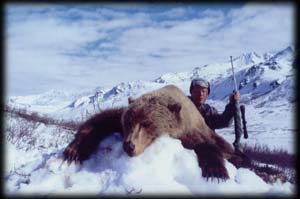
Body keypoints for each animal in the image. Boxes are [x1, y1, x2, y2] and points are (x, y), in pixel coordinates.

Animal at [63, 84, 248, 181]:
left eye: (147, 123)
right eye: (128, 122)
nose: (129, 146)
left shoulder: (188, 130)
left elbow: (206, 145)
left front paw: (216, 172)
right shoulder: (119, 116)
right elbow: (100, 119)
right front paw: (73, 151)